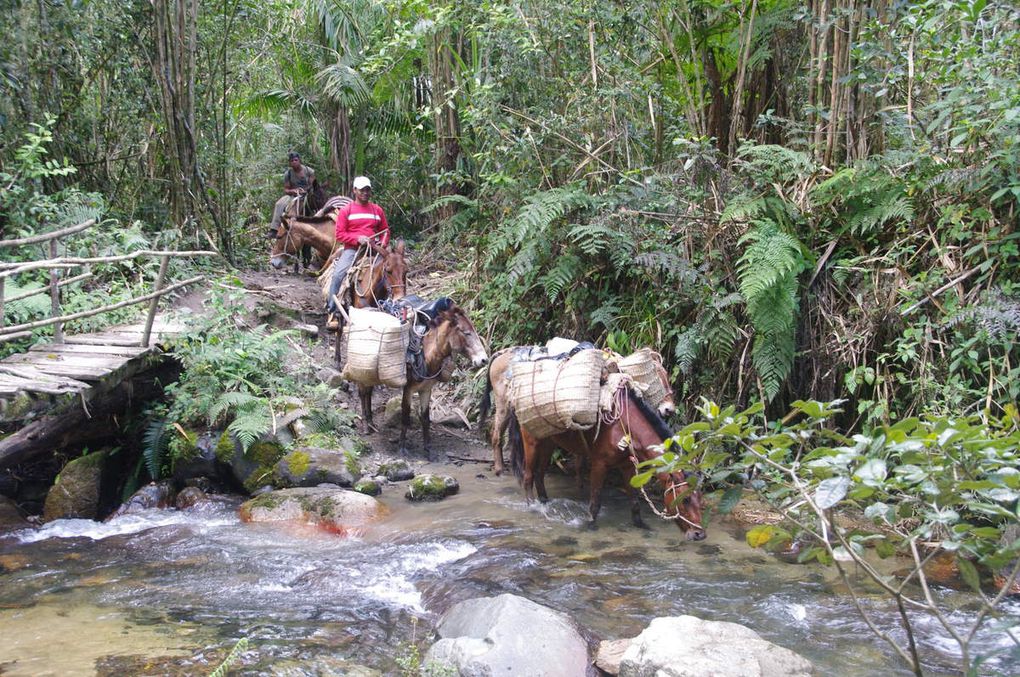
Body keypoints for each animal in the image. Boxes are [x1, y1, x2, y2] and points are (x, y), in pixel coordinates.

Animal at [357, 299, 487, 460]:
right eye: (466, 332)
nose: (484, 360)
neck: (426, 354)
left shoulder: (426, 389)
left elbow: (425, 418)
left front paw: (428, 450)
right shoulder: (408, 389)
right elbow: (405, 415)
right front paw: (402, 448)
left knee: (368, 392)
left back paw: (371, 422)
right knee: (362, 393)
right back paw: (365, 426)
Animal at [479, 346, 677, 473]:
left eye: (667, 375)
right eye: (658, 377)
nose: (670, 410)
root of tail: (500, 354)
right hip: (503, 406)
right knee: (496, 434)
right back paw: (499, 468)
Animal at [505, 385, 705, 538]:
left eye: (700, 499)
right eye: (685, 499)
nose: (699, 535)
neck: (625, 424)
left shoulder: (627, 465)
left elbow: (635, 502)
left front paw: (641, 525)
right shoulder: (599, 464)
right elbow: (595, 502)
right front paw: (591, 526)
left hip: (549, 441)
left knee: (540, 474)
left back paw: (545, 503)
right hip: (531, 441)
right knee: (528, 476)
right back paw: (533, 507)